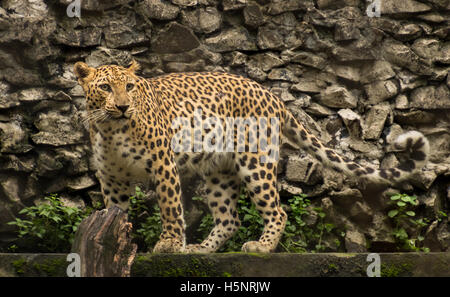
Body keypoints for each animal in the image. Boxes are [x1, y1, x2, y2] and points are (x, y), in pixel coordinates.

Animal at [74, 60, 428, 252]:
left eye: (131, 87)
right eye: (105, 87)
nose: (123, 106)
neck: (112, 129)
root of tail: (270, 93)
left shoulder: (164, 164)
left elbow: (171, 208)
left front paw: (169, 244)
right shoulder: (113, 179)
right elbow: (115, 212)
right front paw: (111, 241)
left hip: (255, 161)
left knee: (277, 211)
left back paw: (261, 247)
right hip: (219, 172)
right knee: (229, 219)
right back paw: (201, 250)